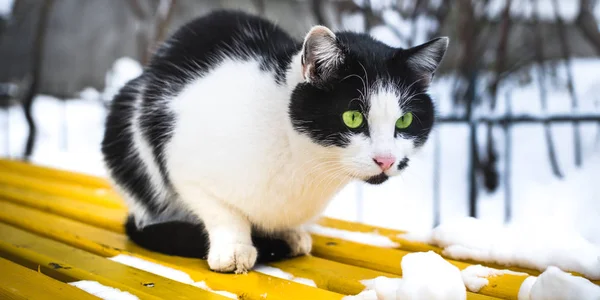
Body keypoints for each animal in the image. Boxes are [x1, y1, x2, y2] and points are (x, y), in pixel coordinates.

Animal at [102, 9, 446, 274]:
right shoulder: (183, 160)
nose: (386, 159)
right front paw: (235, 248)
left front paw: (288, 233)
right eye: (353, 117)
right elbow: (222, 211)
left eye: (404, 121)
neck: (305, 163)